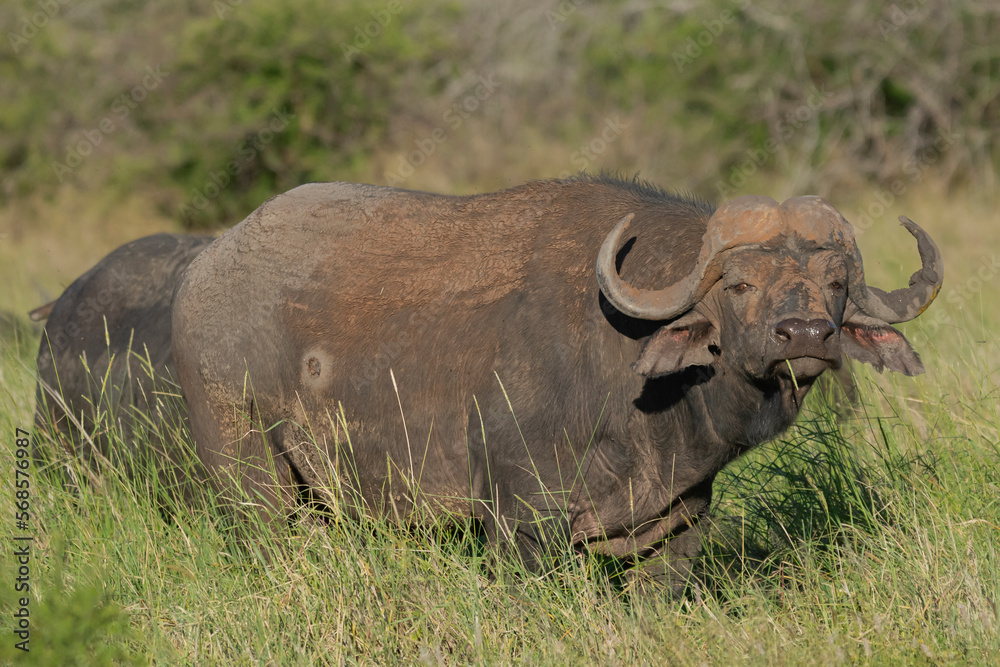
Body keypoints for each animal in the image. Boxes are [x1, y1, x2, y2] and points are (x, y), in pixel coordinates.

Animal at [171, 175, 941, 591]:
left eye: (835, 284)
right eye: (741, 283)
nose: (806, 336)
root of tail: (205, 273)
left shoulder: (680, 526)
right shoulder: (520, 524)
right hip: (254, 481)